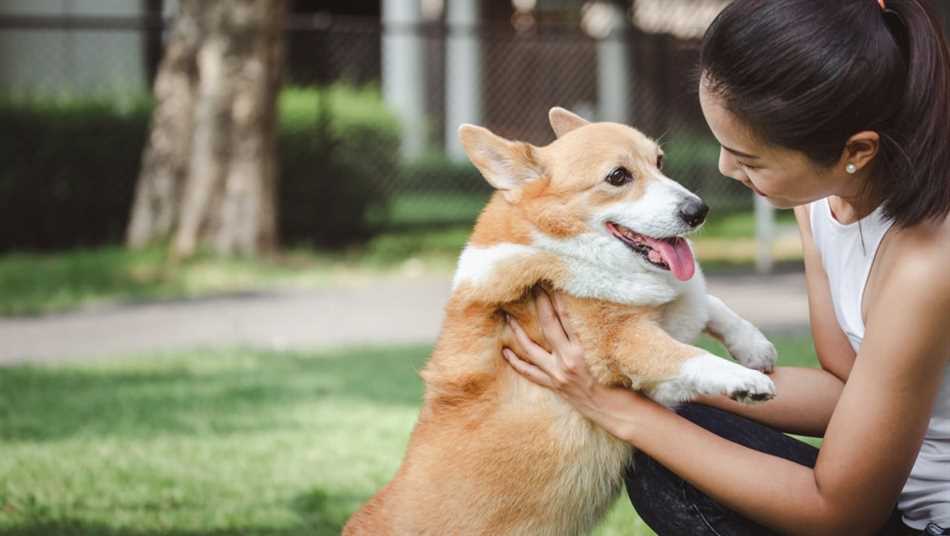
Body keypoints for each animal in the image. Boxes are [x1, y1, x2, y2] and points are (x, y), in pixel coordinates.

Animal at [346, 109, 776, 536]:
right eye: (618, 177)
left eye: (659, 161)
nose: (698, 210)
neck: (565, 246)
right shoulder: (622, 344)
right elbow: (686, 354)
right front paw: (746, 381)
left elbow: (708, 303)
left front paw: (754, 347)